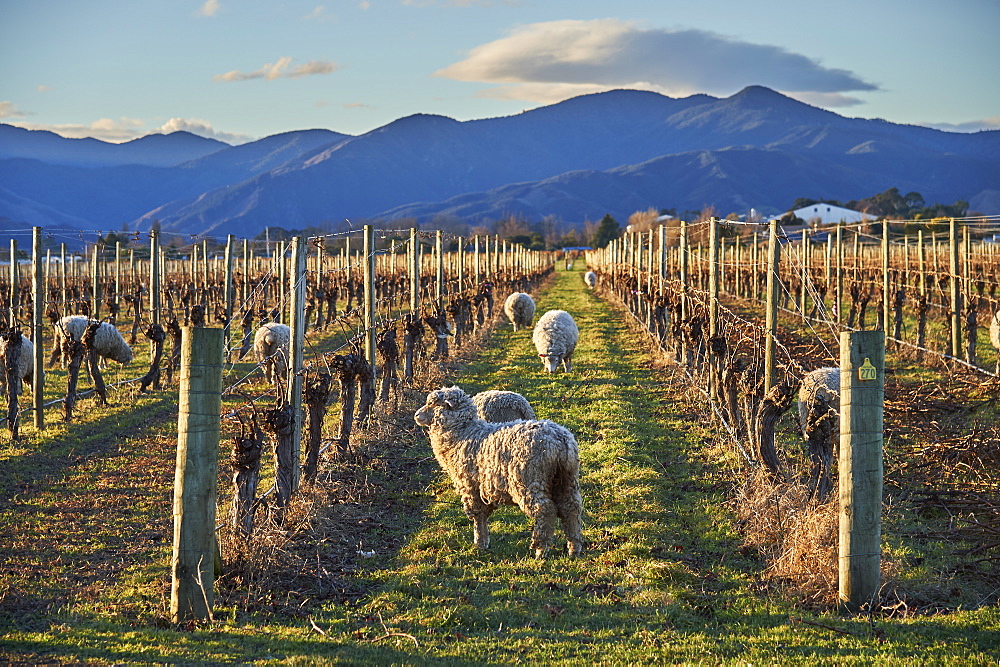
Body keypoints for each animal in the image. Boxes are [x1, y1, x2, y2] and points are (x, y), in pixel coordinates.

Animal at [416, 386, 584, 560]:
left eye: (433, 403)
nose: (416, 415)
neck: (462, 433)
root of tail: (560, 440)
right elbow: (483, 514)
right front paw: (483, 542)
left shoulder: (469, 486)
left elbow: (478, 515)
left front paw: (480, 543)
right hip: (566, 479)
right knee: (571, 508)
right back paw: (574, 548)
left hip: (529, 481)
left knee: (545, 511)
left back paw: (541, 550)